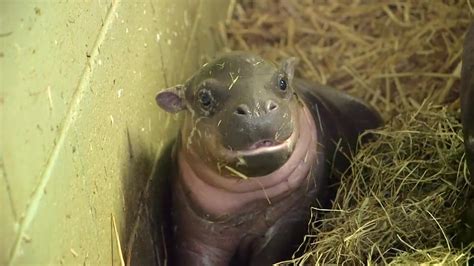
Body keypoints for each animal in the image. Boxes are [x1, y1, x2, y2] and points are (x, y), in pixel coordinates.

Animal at [156, 52, 382, 266]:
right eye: (204, 98)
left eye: (283, 82)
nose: (257, 109)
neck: (248, 207)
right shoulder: (194, 234)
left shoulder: (292, 218)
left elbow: (271, 254)